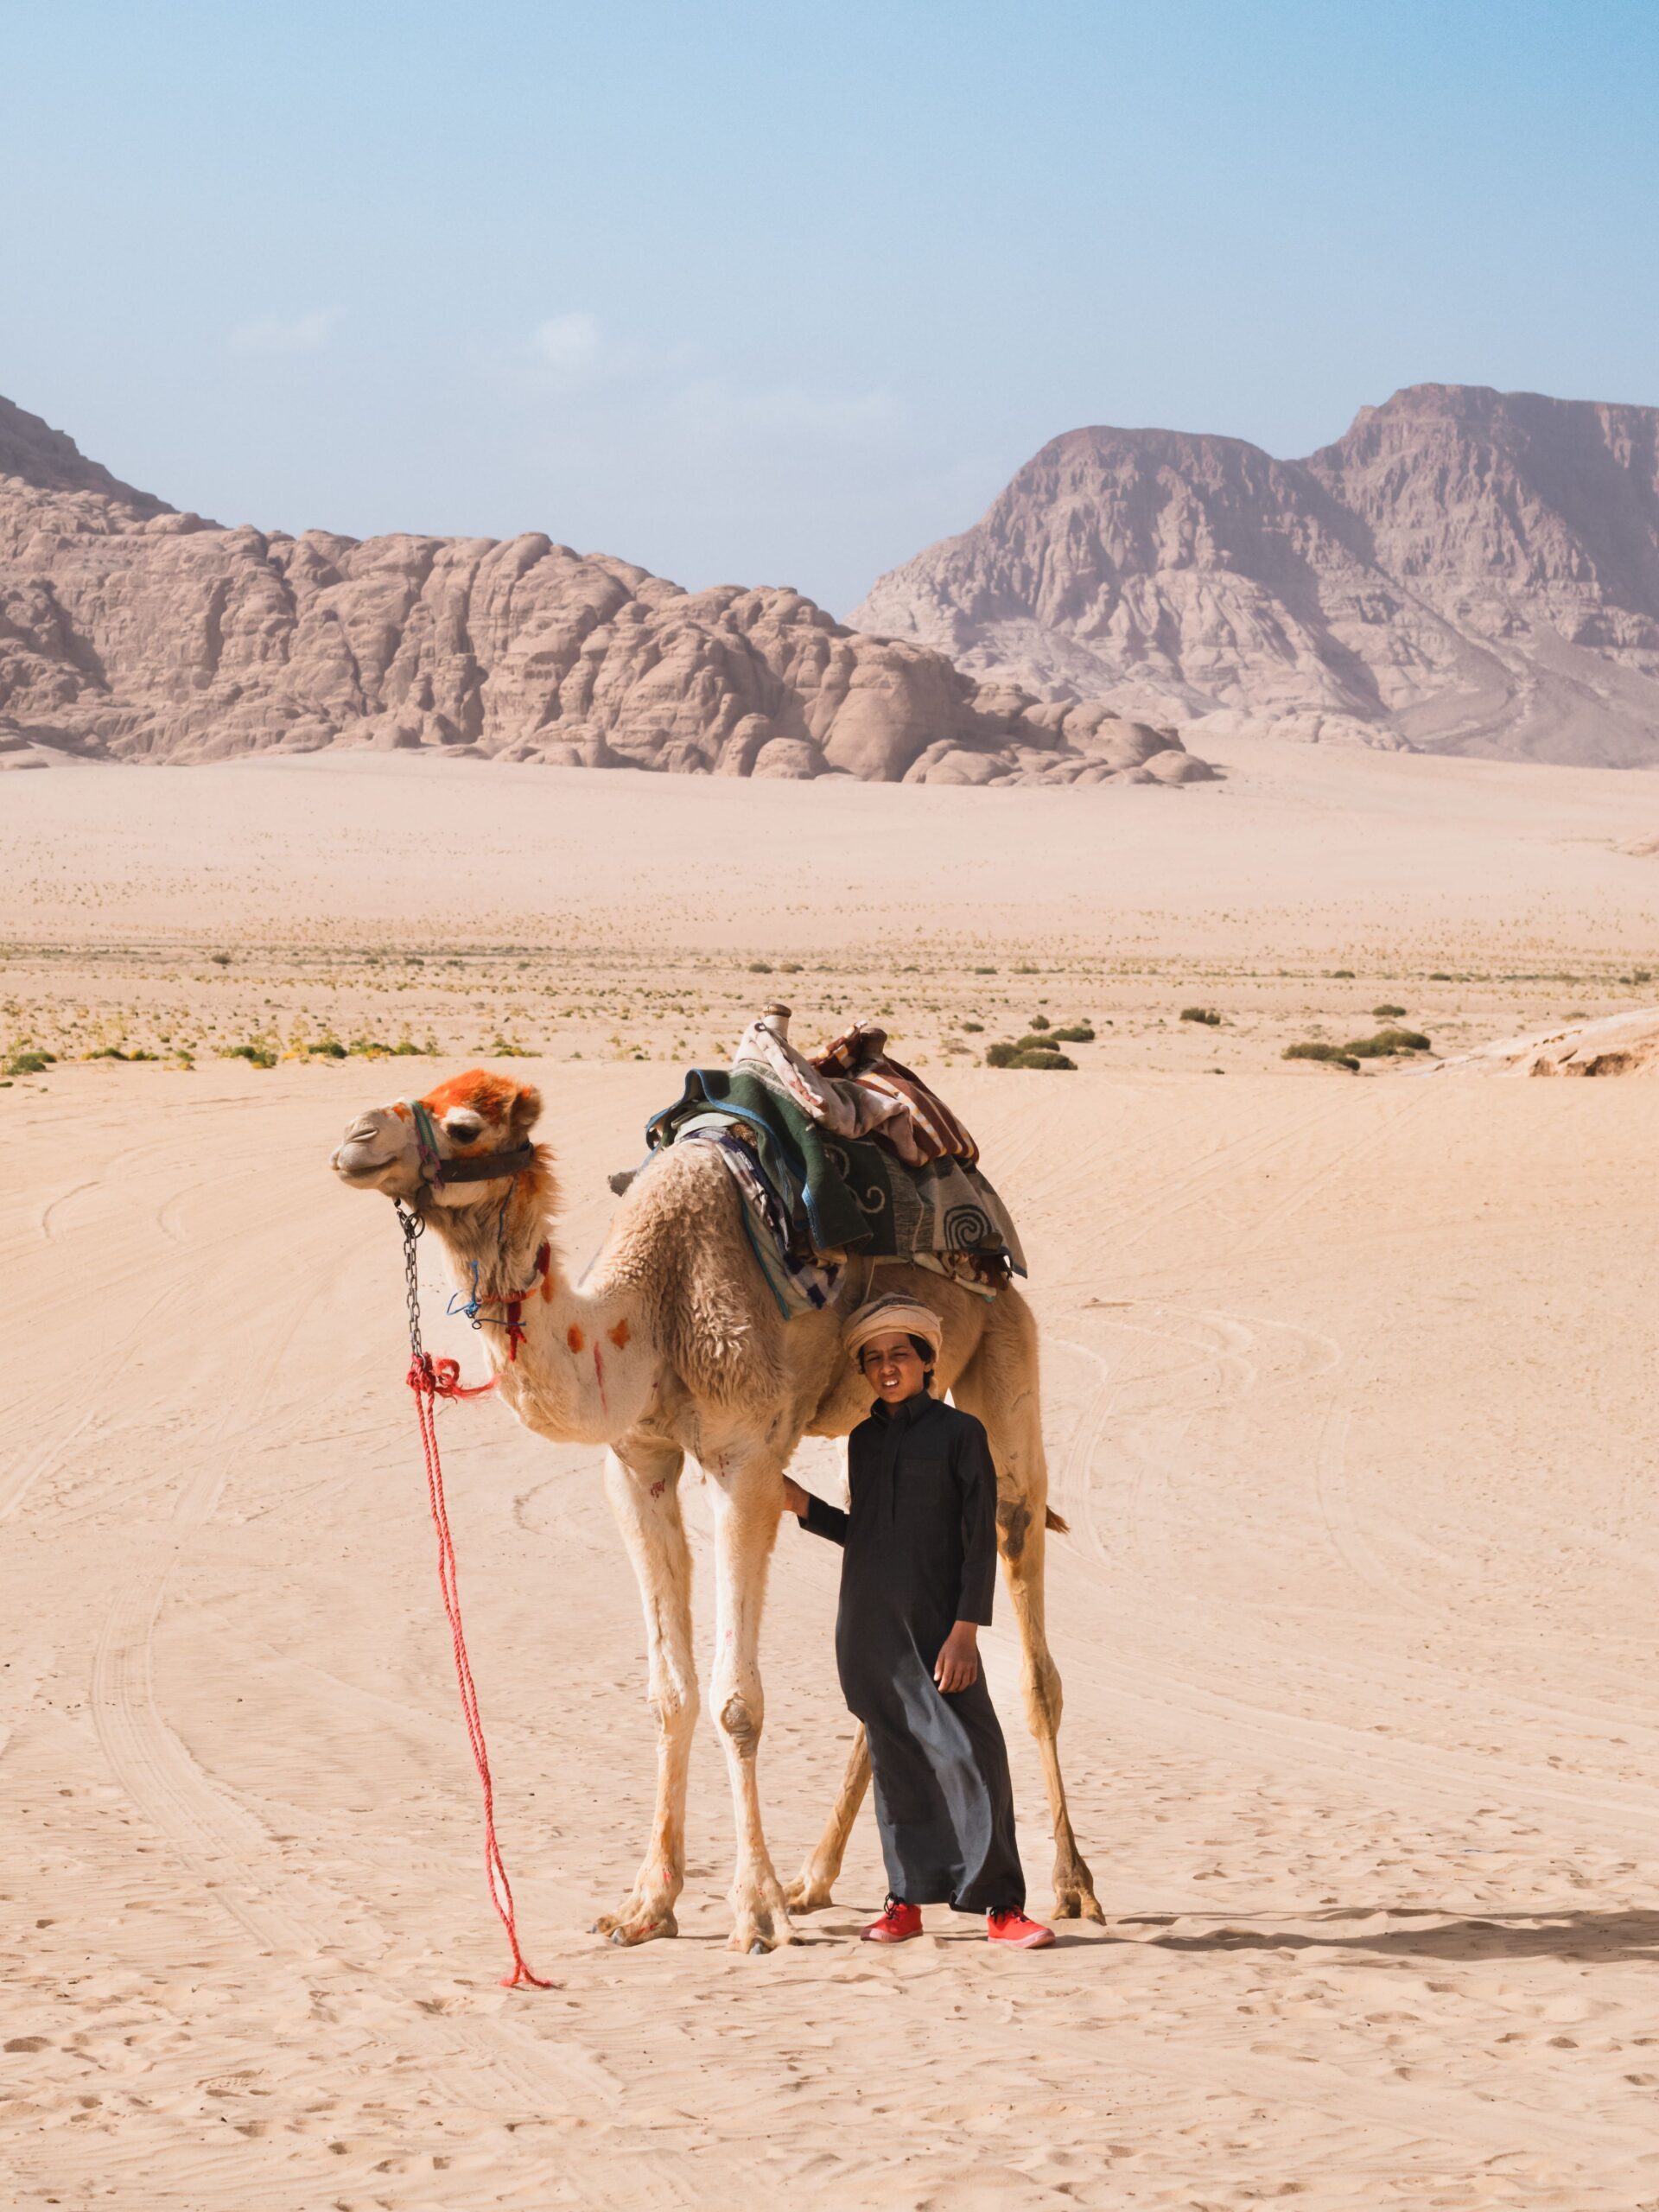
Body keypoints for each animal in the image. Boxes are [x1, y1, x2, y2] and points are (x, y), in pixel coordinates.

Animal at [329, 1061, 1096, 1946]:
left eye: (463, 1128)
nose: (353, 1141)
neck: (646, 1312)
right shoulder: (638, 1464)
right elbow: (670, 1693)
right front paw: (646, 1904)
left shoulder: (745, 1458)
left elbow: (737, 1701)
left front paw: (755, 1910)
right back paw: (817, 1879)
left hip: (1005, 1348)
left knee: (1026, 1604)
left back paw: (1070, 1886)